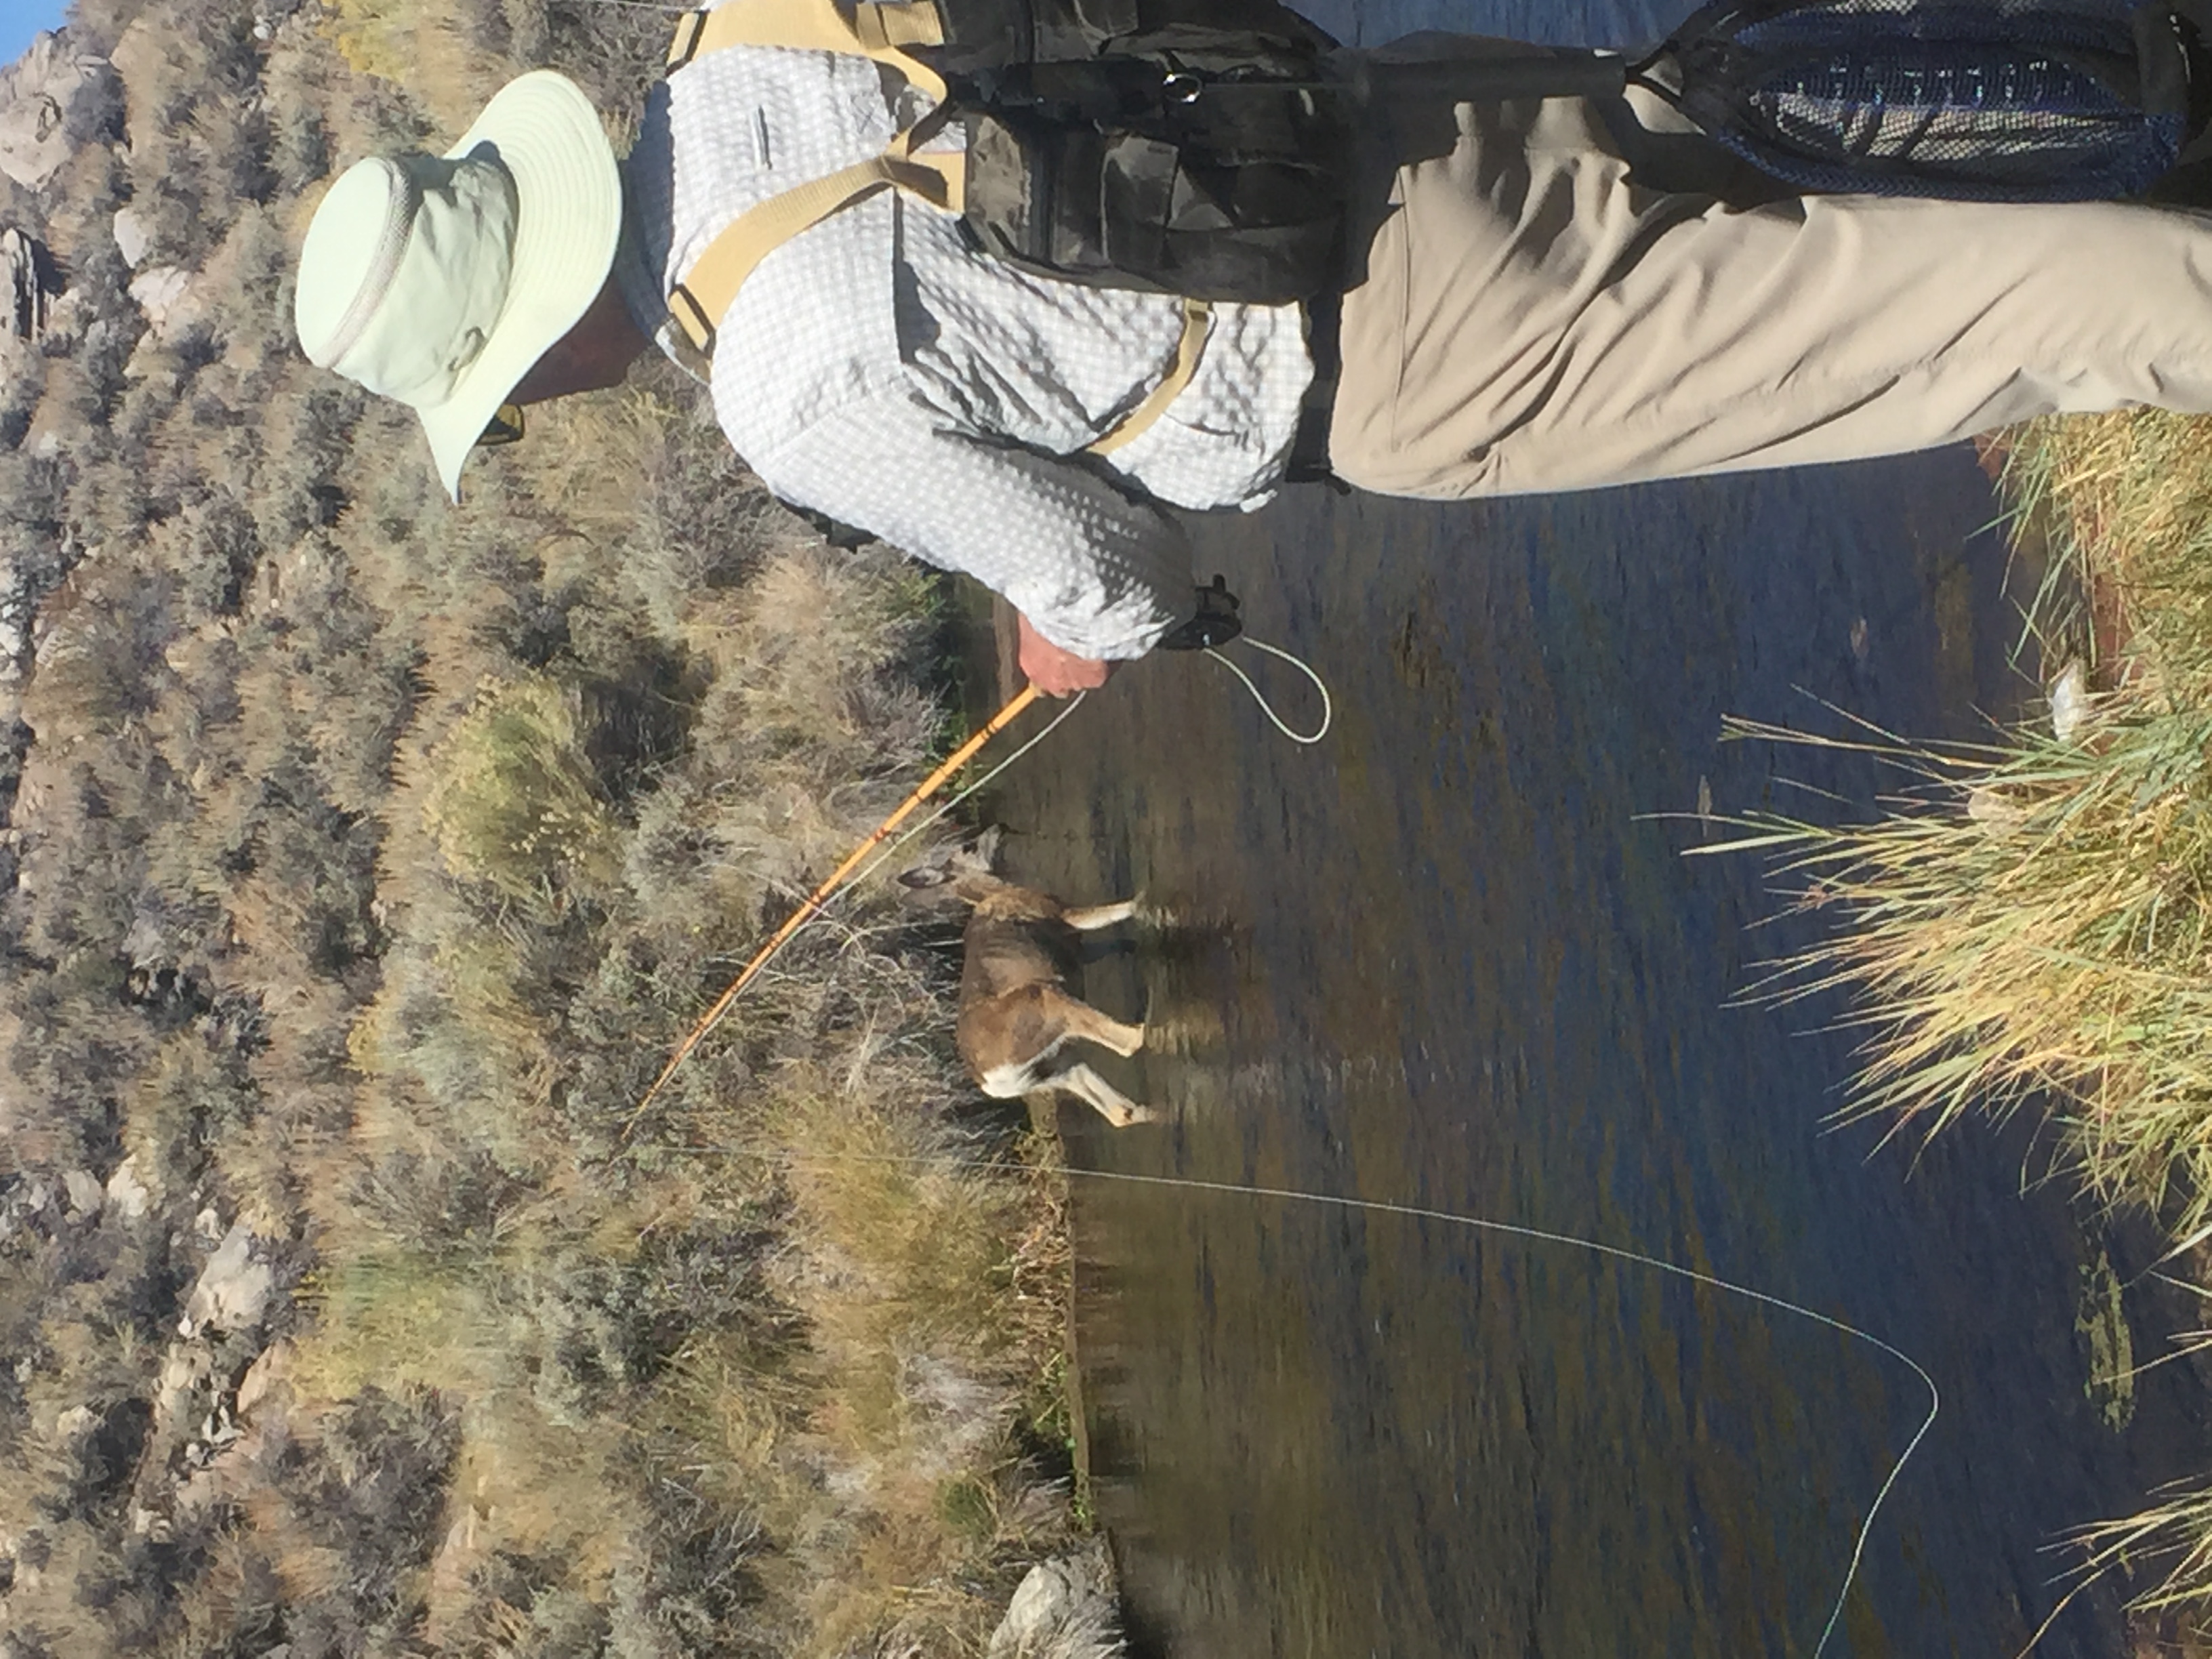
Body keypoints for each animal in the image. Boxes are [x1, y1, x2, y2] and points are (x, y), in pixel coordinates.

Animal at [899, 832, 1155, 1127]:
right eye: (968, 846)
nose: (998, 828)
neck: (995, 894)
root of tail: (992, 1081)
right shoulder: (1065, 914)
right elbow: (1118, 910)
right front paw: (1144, 900)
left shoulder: (1075, 946)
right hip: (1046, 1000)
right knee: (1129, 1043)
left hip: (1056, 1067)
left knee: (1118, 1111)